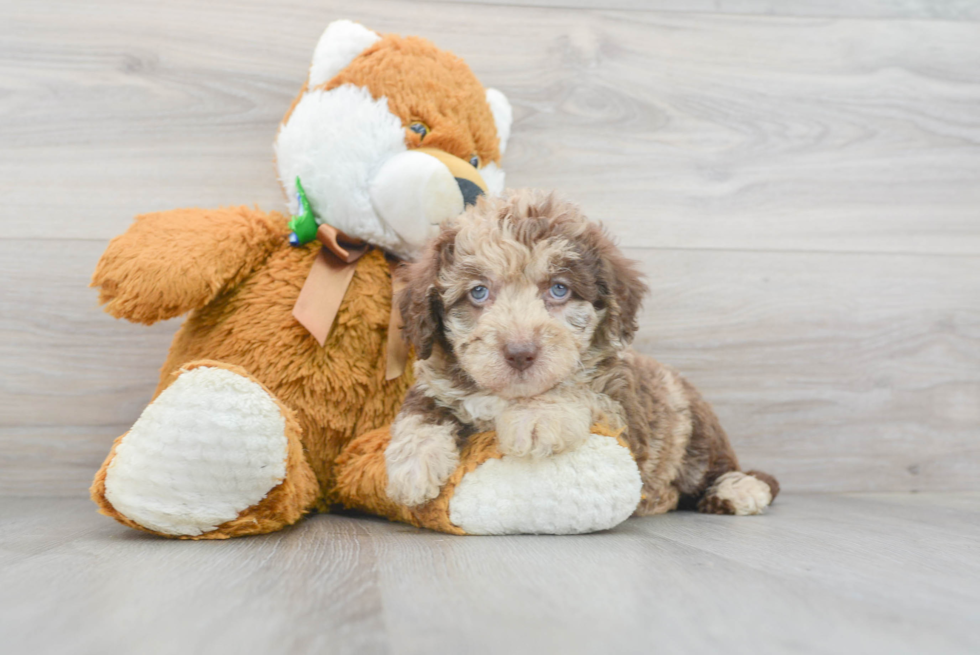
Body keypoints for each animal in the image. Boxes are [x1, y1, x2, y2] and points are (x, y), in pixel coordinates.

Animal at [386, 190, 776, 516]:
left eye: (559, 289)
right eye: (478, 292)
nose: (520, 353)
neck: (507, 397)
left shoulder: (623, 412)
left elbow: (580, 391)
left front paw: (537, 417)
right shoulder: (436, 383)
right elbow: (420, 412)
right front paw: (412, 466)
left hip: (694, 432)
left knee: (723, 470)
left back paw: (738, 490)